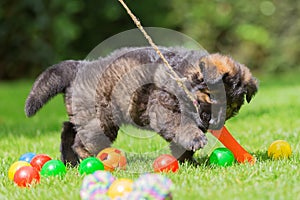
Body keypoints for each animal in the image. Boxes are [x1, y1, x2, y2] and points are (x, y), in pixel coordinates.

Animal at [24, 47, 256, 166]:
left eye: (232, 108)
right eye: (212, 98)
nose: (214, 124)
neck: (184, 75)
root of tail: (79, 66)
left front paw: (185, 161)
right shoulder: (162, 107)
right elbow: (181, 126)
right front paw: (195, 140)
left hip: (85, 113)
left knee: (68, 128)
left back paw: (70, 160)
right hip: (102, 117)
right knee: (82, 139)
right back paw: (89, 158)